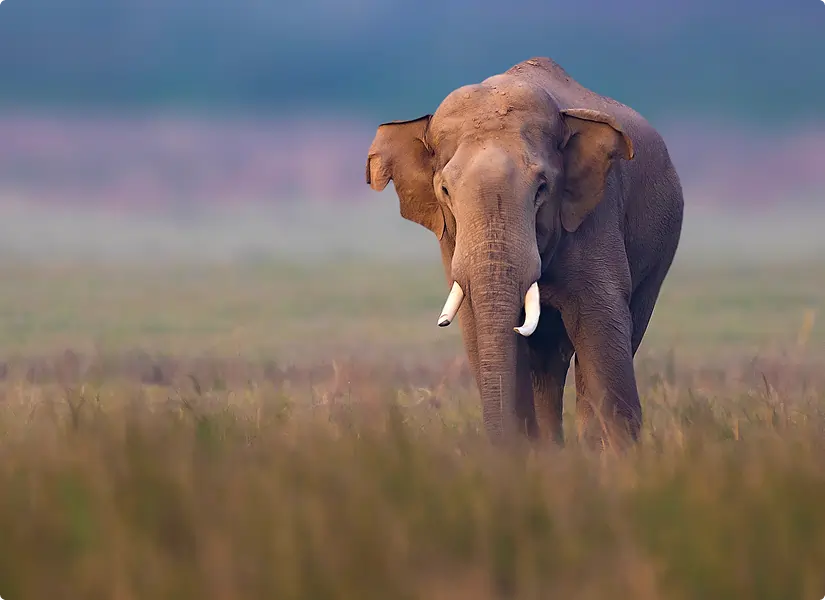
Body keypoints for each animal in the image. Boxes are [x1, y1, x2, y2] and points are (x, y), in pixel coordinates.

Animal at [365, 57, 684, 449]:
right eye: (445, 191)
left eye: (542, 188)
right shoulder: (450, 239)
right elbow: (481, 329)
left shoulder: (596, 214)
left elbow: (601, 322)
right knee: (547, 362)